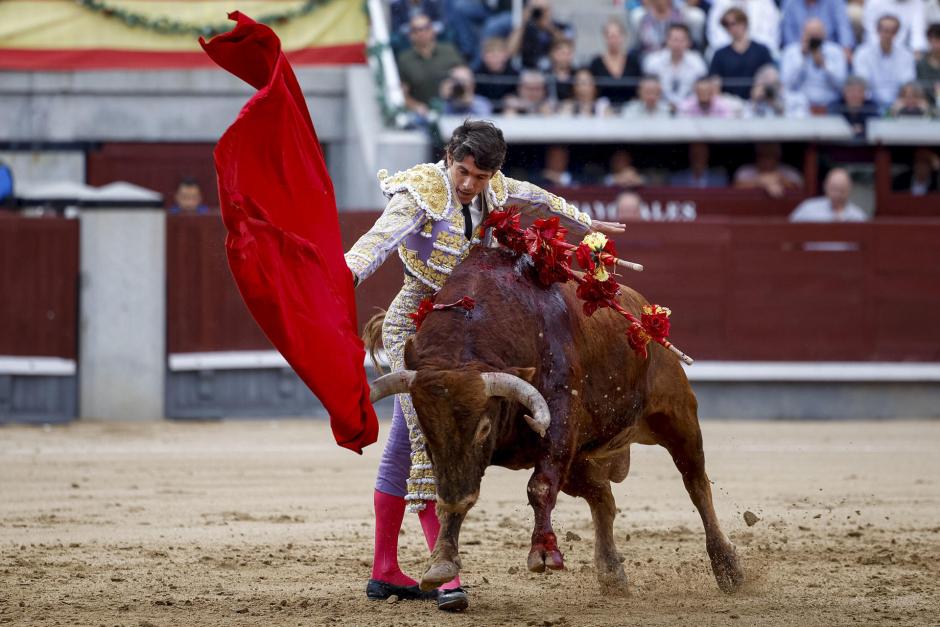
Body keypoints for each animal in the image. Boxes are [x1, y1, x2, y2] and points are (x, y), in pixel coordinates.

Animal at [370, 245, 744, 592]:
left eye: (484, 428)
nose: (458, 497)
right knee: (604, 500)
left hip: (677, 415)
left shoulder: (560, 424)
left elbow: (540, 486)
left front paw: (544, 554)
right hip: (582, 459)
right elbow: (448, 498)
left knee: (696, 483)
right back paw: (612, 574)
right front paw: (442, 562)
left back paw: (728, 569)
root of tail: (643, 312)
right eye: (425, 429)